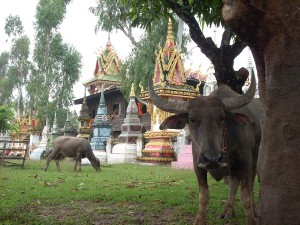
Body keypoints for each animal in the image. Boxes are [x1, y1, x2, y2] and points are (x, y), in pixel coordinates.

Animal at [149, 73, 260, 224]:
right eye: (192, 119)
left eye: (222, 117)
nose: (212, 159)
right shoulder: (198, 166)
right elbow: (203, 196)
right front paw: (200, 220)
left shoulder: (246, 163)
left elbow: (246, 196)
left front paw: (252, 217)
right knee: (233, 184)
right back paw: (228, 210)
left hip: (254, 158)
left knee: (251, 183)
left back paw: (253, 210)